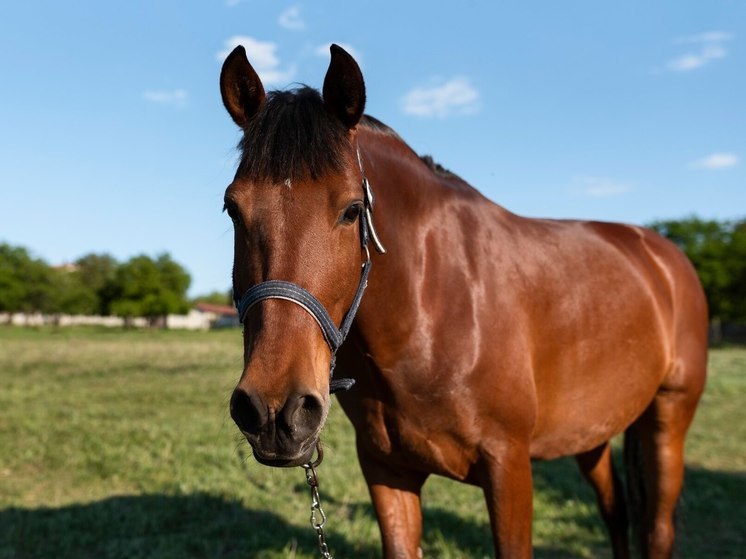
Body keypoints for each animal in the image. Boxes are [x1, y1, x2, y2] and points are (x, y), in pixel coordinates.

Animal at [218, 44, 708, 559]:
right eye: (233, 209)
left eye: (352, 210)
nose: (276, 410)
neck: (431, 310)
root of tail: (664, 255)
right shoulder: (387, 471)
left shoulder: (509, 468)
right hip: (590, 433)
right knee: (615, 513)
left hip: (667, 420)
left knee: (657, 528)